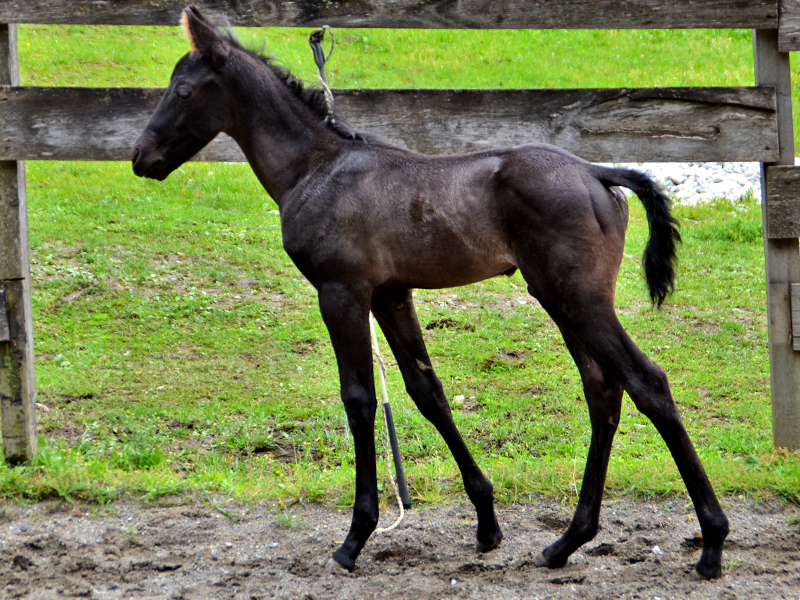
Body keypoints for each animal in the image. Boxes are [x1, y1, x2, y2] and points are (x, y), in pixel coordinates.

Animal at [132, 6, 729, 579]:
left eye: (182, 91)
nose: (141, 156)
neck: (316, 168)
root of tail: (596, 171)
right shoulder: (391, 294)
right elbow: (427, 392)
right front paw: (486, 523)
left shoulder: (341, 292)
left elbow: (359, 399)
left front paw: (355, 538)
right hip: (563, 300)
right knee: (603, 391)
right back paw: (567, 542)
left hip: (579, 299)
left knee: (647, 383)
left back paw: (712, 543)